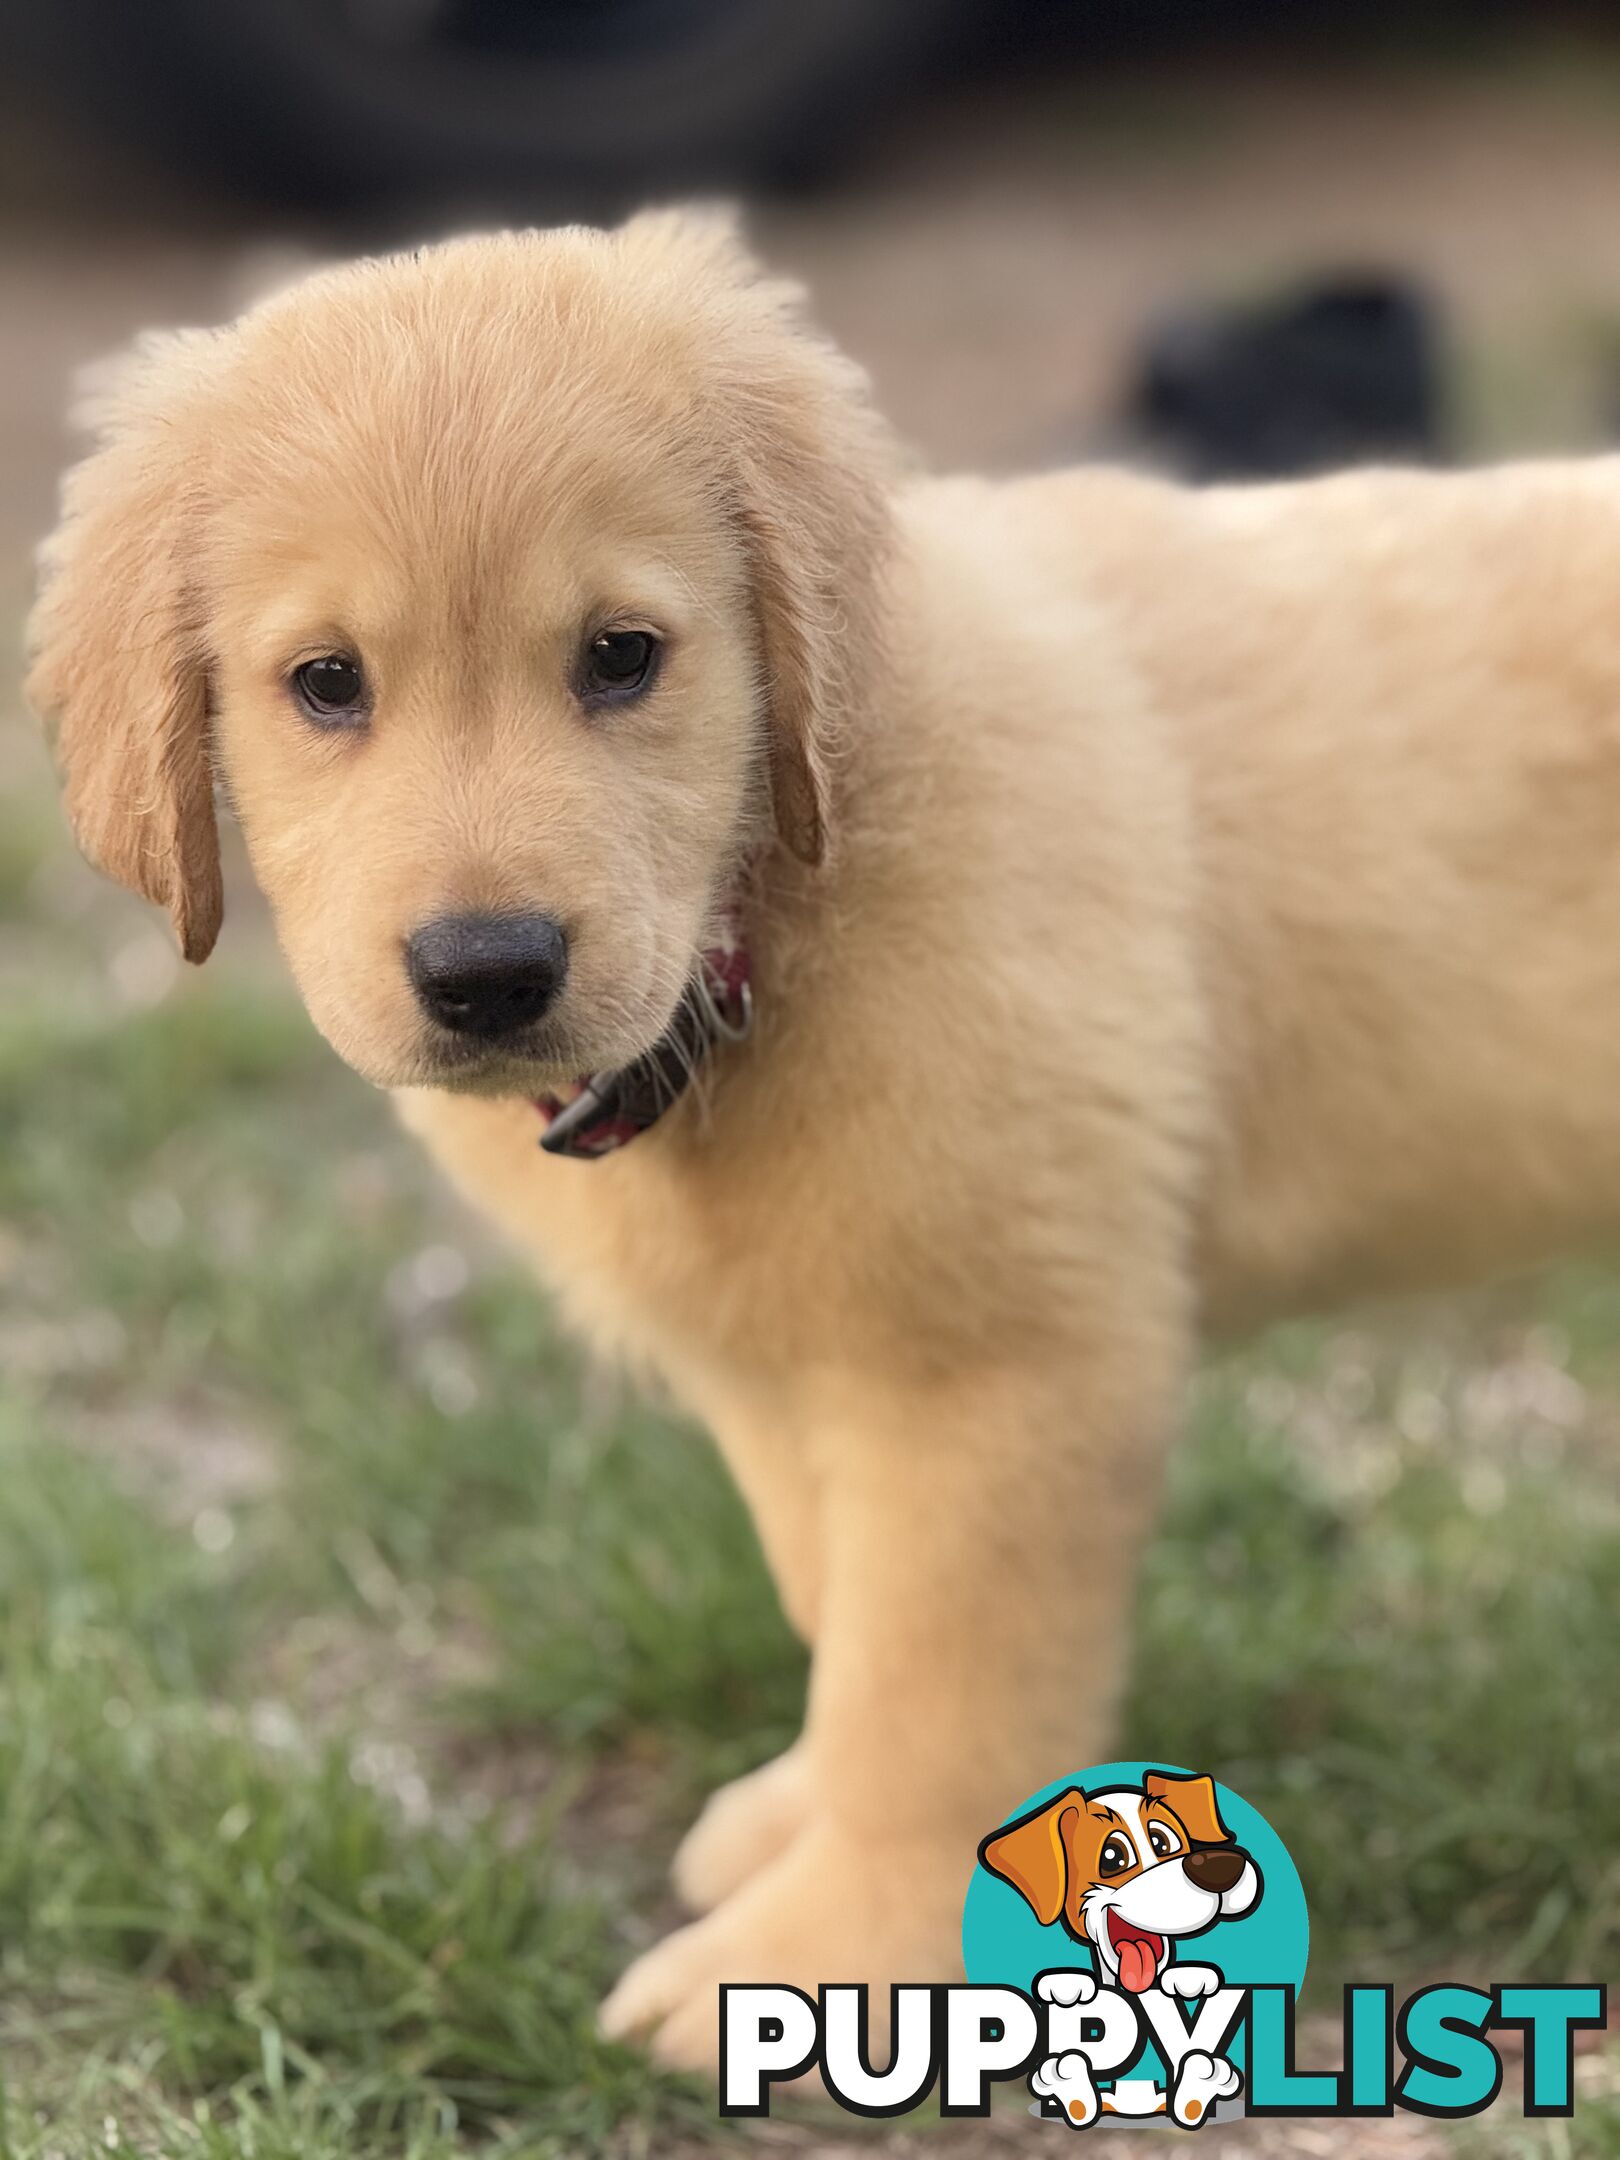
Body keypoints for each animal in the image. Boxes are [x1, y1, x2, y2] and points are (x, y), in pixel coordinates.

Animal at [28, 210, 1620, 2064]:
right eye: (325, 685)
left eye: (622, 656)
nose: (488, 972)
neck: (763, 923)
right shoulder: (787, 1372)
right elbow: (832, 1602)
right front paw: (795, 1817)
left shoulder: (995, 1380)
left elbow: (931, 1689)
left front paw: (833, 1944)